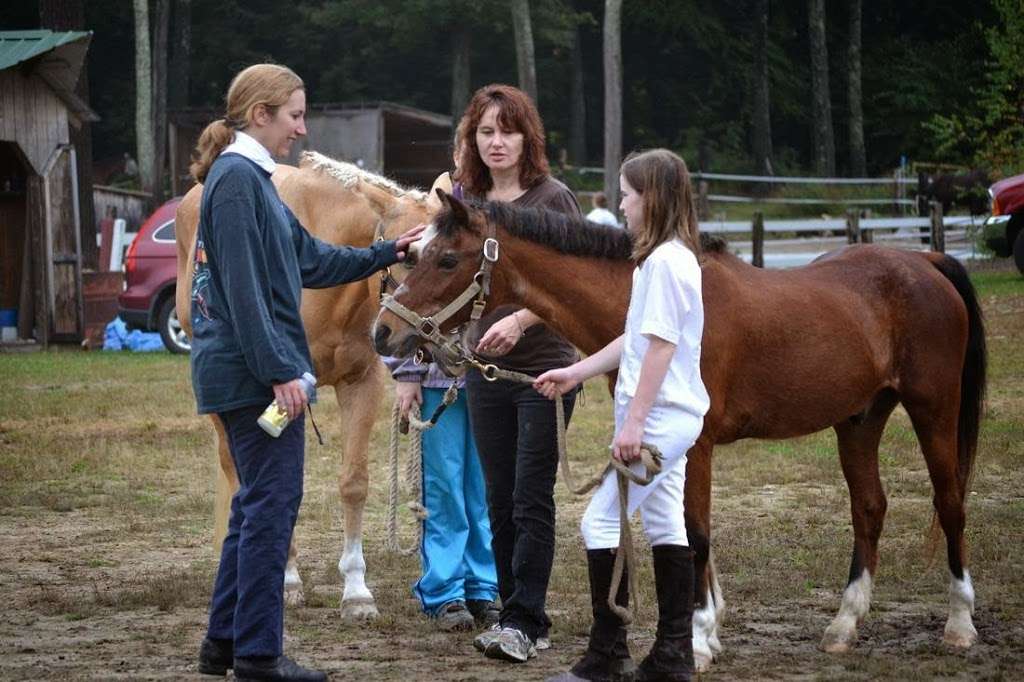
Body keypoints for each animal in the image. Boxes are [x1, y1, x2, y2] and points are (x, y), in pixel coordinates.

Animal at [177, 151, 432, 618]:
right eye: (410, 256)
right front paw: (288, 581)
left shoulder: (362, 383)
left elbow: (354, 483)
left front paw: (356, 592)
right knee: (238, 475)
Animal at [372, 192, 987, 667]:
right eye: (419, 252)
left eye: (447, 259)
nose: (383, 333)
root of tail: (928, 262)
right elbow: (687, 535)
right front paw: (706, 630)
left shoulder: (698, 444)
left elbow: (695, 535)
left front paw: (696, 642)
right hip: (860, 420)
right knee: (869, 509)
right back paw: (843, 625)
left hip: (933, 409)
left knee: (951, 504)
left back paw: (960, 625)